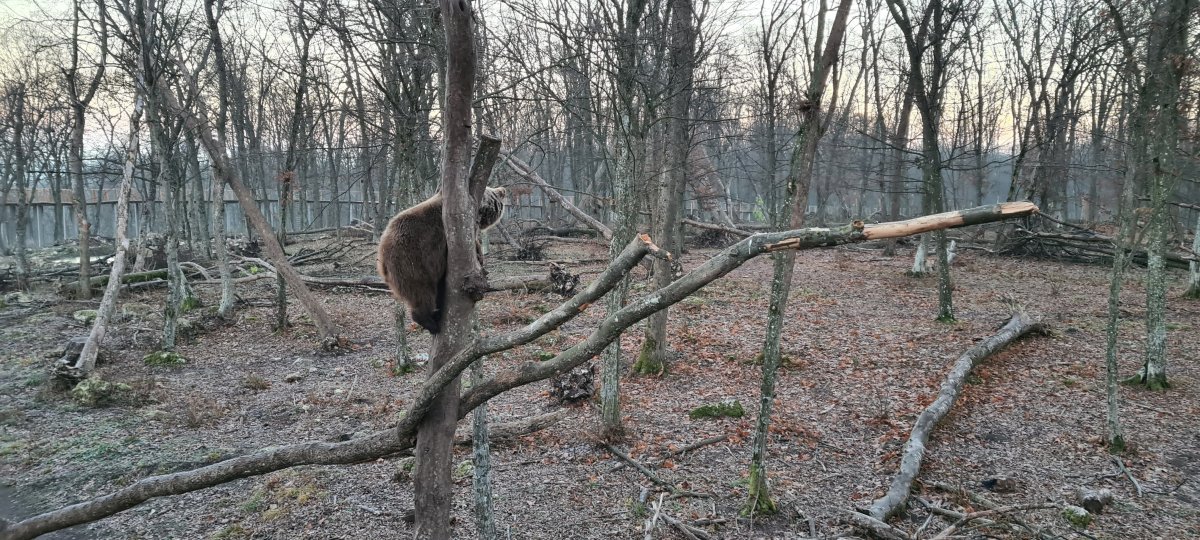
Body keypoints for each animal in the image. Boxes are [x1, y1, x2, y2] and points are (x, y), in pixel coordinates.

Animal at [374, 187, 506, 336]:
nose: (502, 191)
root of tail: (381, 259)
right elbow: (473, 243)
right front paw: (480, 256)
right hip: (412, 261)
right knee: (422, 292)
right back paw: (430, 321)